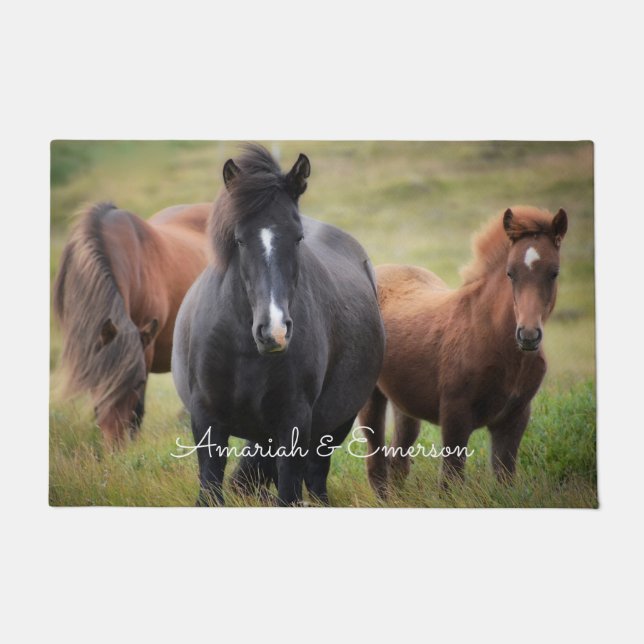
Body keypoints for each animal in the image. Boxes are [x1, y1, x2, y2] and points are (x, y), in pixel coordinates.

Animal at [172, 144, 385, 506]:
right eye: (239, 240)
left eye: (298, 238)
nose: (274, 331)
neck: (244, 349)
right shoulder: (206, 420)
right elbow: (211, 489)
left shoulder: (294, 423)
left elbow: (288, 491)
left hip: (333, 426)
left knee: (315, 478)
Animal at [358, 205, 568, 496]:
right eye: (510, 272)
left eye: (554, 272)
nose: (528, 336)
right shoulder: (455, 414)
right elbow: (450, 480)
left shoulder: (515, 418)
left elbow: (505, 478)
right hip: (371, 397)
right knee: (376, 462)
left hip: (405, 402)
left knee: (397, 458)